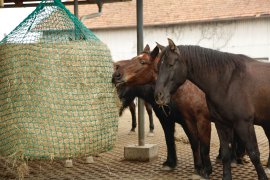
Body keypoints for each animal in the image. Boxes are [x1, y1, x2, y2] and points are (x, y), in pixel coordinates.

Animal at [154, 38, 270, 180]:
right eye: (158, 68)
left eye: (170, 65)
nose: (158, 95)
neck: (227, 82)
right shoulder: (222, 124)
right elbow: (225, 154)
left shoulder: (244, 124)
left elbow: (254, 153)